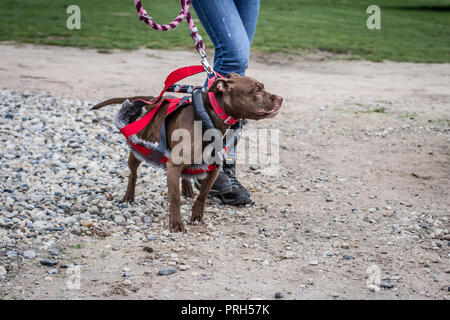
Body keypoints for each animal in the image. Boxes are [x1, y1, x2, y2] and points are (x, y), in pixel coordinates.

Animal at [91, 73, 282, 232]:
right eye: (256, 89)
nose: (281, 98)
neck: (208, 121)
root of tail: (155, 100)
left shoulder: (213, 169)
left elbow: (203, 196)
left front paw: (197, 217)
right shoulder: (173, 166)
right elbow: (175, 198)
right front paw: (176, 224)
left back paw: (188, 188)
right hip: (139, 146)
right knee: (133, 174)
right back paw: (129, 197)